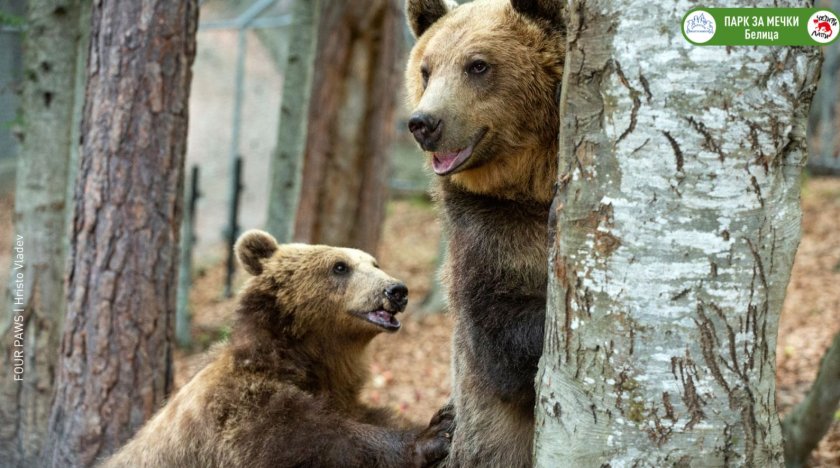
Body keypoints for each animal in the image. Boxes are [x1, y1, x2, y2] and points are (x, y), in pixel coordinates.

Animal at [102, 230, 452, 468]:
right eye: (340, 266)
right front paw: (433, 434)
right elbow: (313, 441)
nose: (397, 290)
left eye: (374, 263)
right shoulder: (239, 413)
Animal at [406, 0, 564, 464]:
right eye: (426, 69)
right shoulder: (485, 230)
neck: (529, 185)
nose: (424, 123)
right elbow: (498, 336)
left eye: (477, 64)